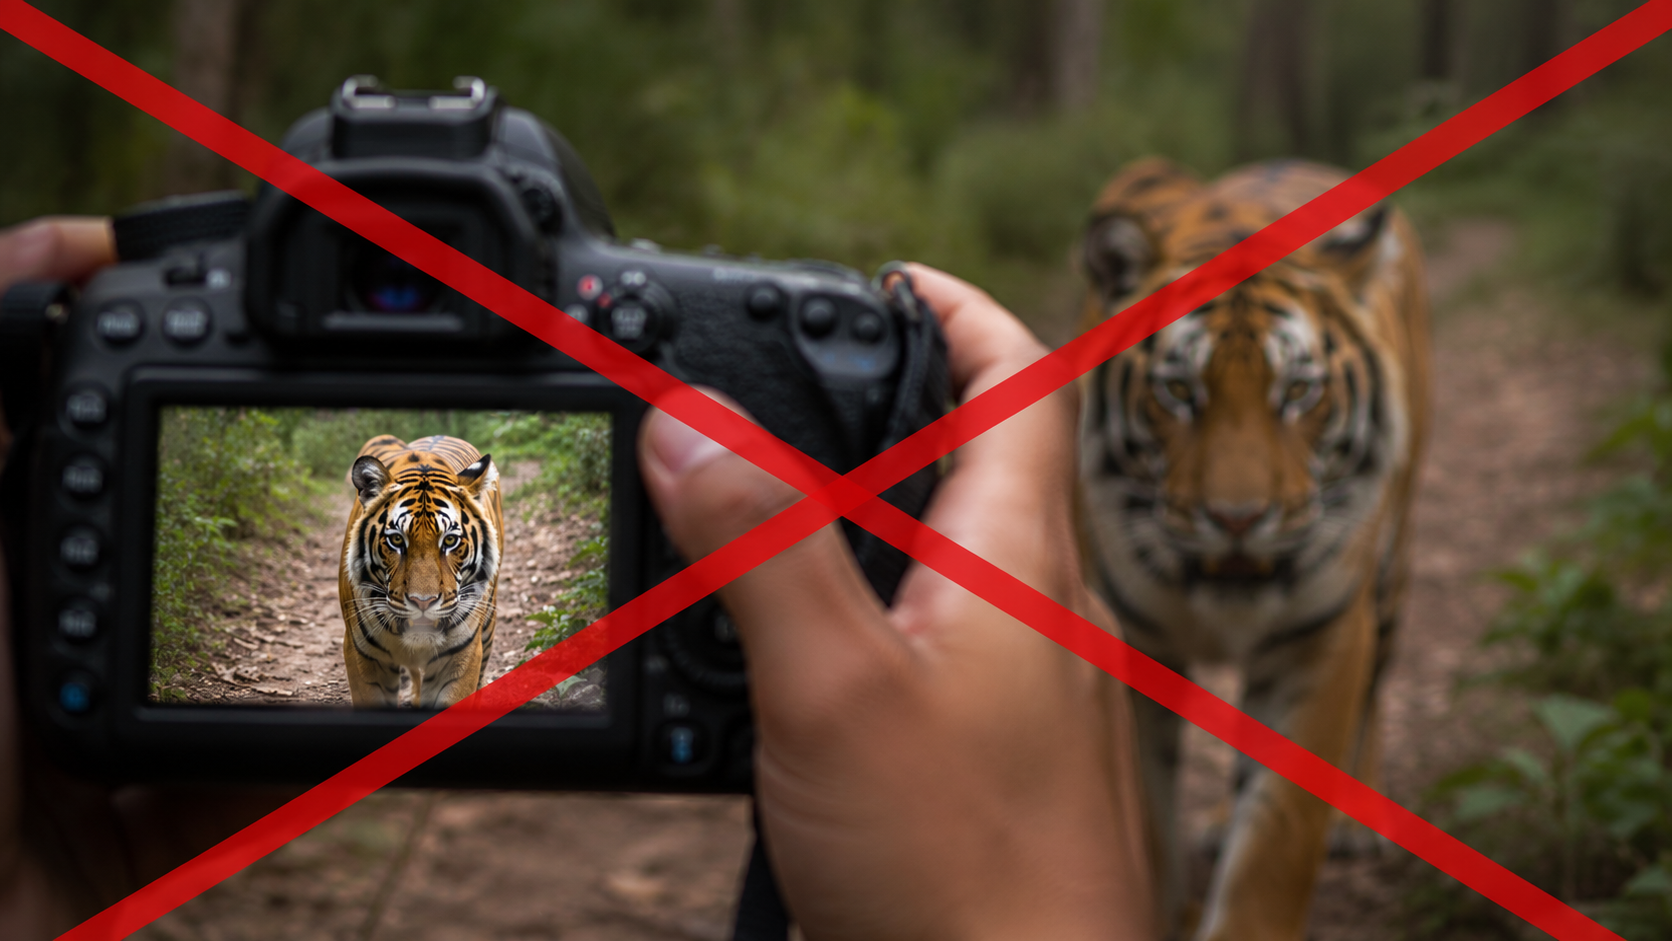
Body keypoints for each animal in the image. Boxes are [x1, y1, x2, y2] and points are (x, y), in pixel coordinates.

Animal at [1074, 158, 1430, 941]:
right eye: (1178, 391)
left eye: (1298, 392)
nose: (1237, 519)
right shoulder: (1129, 636)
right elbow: (1144, 814)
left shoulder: (1321, 637)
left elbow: (1276, 839)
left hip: (1391, 569)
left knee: (1380, 680)